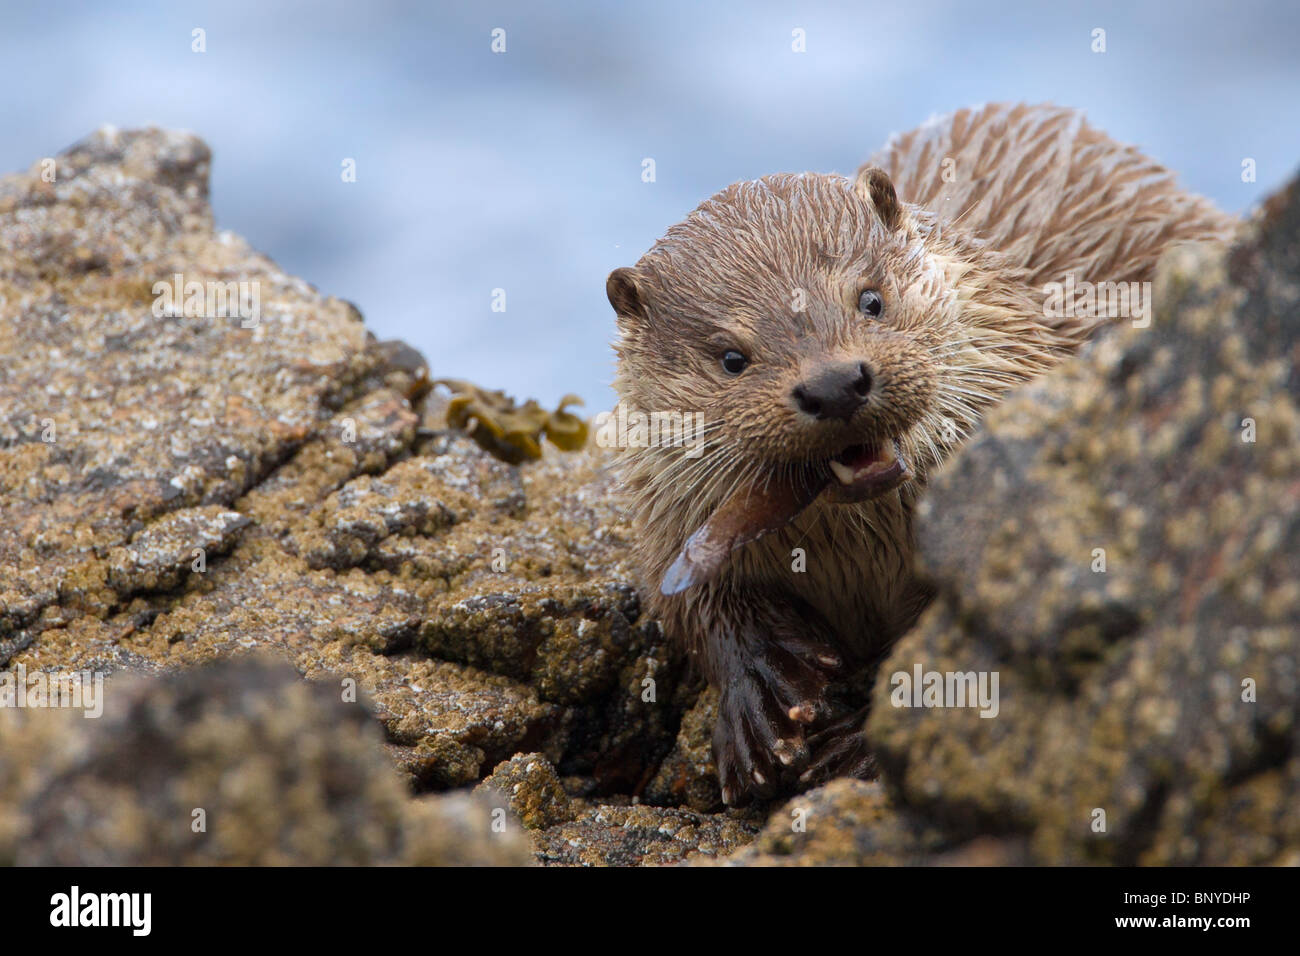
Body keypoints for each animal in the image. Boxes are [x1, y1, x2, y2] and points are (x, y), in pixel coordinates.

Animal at [603, 102, 1232, 806]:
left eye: (870, 299)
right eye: (731, 358)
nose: (833, 383)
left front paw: (859, 742)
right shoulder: (664, 510)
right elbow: (685, 603)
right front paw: (759, 688)